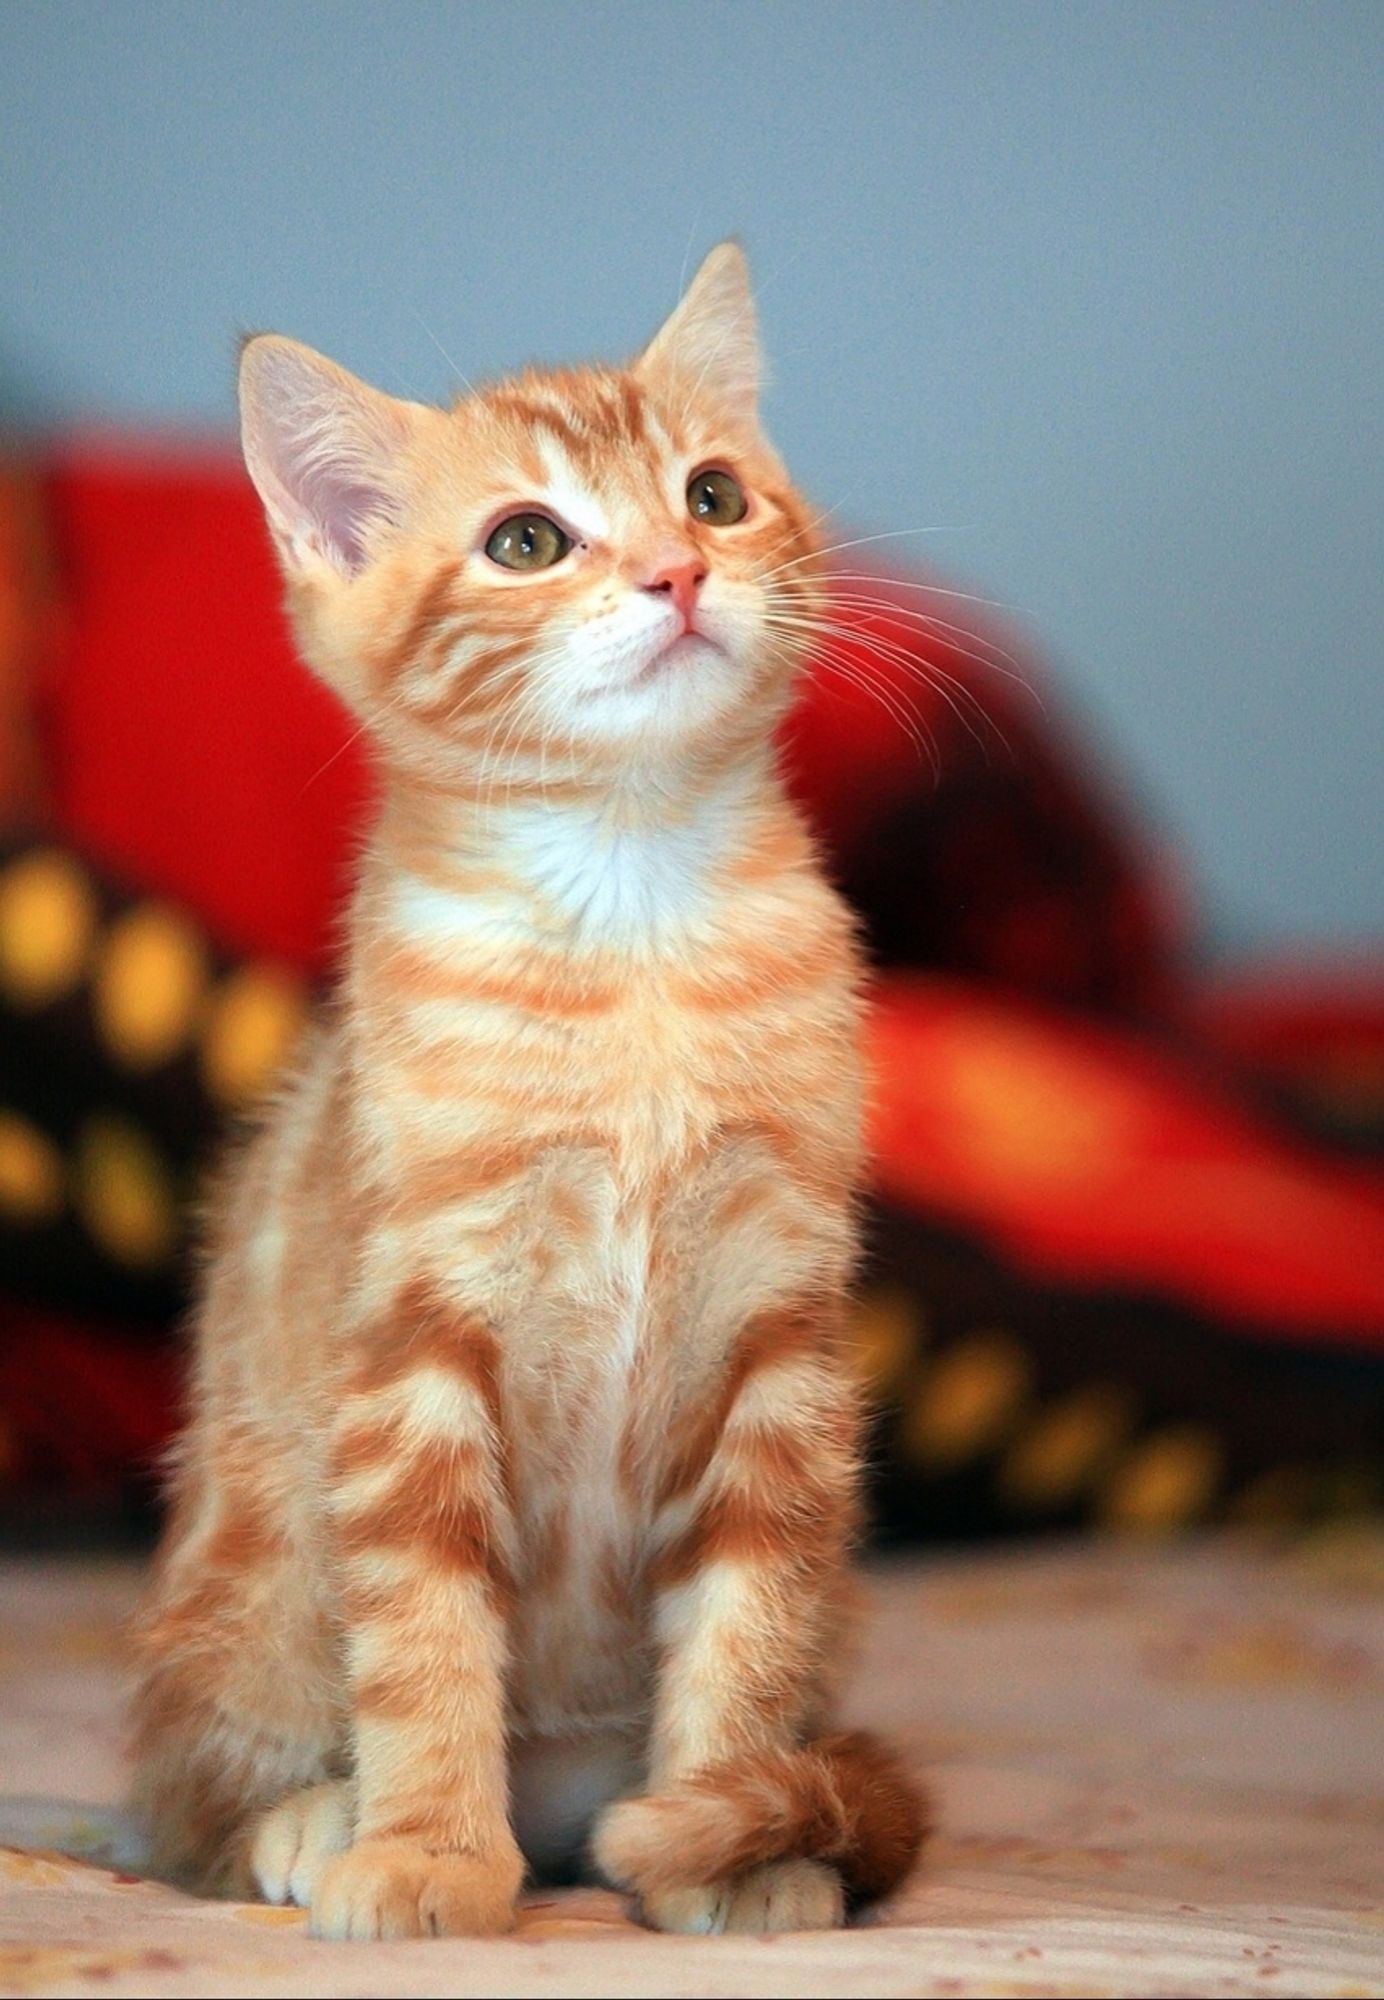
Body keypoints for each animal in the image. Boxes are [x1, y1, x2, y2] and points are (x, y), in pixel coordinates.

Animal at [130, 238, 924, 1936]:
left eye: (712, 496)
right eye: (526, 541)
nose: (678, 574)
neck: (632, 925)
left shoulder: (781, 1328)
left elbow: (752, 1613)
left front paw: (727, 1832)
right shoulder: (414, 1337)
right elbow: (423, 1625)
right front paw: (428, 1851)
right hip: (239, 1612)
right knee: (178, 1796)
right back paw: (309, 1818)